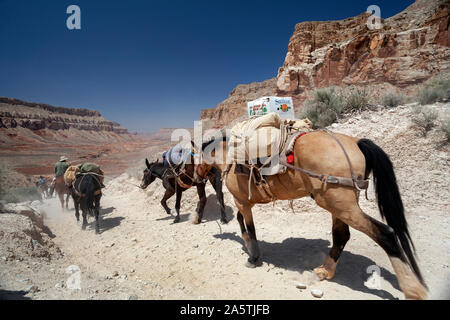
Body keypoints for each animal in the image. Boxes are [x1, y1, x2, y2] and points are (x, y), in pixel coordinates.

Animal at [198, 130, 428, 300]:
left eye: (195, 156)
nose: (200, 176)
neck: (230, 160)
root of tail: (355, 141)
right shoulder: (244, 203)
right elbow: (240, 222)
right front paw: (247, 245)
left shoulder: (243, 202)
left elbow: (250, 227)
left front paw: (253, 257)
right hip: (338, 205)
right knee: (342, 236)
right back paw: (325, 271)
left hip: (340, 205)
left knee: (385, 233)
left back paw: (413, 290)